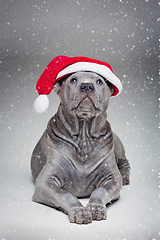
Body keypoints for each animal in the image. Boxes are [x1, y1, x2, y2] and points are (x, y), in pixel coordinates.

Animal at [31, 70, 130, 224]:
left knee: (124, 161)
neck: (84, 137)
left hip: (117, 144)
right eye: (73, 80)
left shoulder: (112, 180)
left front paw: (96, 207)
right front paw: (79, 210)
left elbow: (100, 191)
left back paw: (124, 175)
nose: (87, 86)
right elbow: (64, 194)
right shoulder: (44, 183)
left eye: (99, 81)